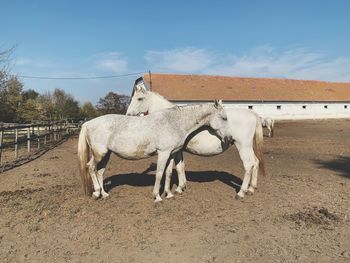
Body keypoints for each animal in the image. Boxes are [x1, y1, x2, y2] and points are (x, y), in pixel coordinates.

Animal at [79, 100, 232, 202]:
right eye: (224, 118)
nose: (229, 138)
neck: (174, 122)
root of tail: (88, 123)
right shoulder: (163, 153)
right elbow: (159, 173)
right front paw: (157, 196)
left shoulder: (171, 153)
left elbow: (168, 173)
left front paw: (169, 194)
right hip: (99, 154)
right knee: (90, 168)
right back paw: (96, 193)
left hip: (106, 155)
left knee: (100, 172)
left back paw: (104, 194)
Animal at [126, 87, 266, 199]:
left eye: (139, 98)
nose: (128, 114)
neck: (174, 119)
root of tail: (252, 113)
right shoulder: (178, 150)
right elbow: (181, 166)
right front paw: (181, 187)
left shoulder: (175, 150)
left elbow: (178, 167)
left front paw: (179, 188)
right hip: (248, 147)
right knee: (256, 162)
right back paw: (251, 188)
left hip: (243, 146)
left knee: (249, 165)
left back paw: (241, 192)